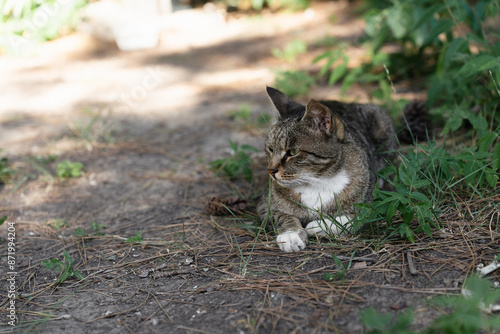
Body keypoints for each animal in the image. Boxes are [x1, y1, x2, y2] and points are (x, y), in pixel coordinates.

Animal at [258, 87, 394, 252]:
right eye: (270, 149)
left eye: (293, 152)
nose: (270, 170)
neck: (316, 181)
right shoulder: (264, 205)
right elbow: (282, 216)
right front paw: (291, 235)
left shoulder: (373, 208)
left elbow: (350, 219)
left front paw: (316, 226)